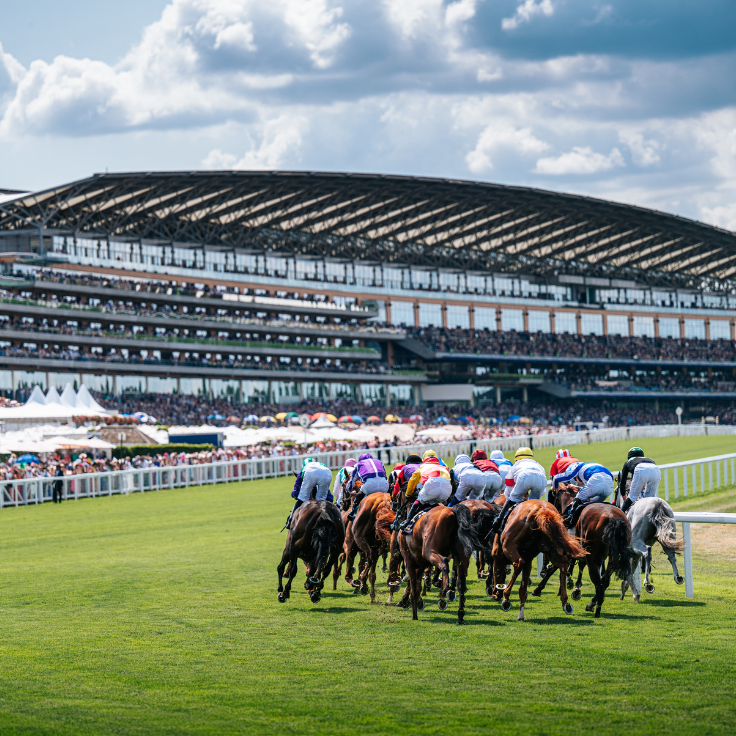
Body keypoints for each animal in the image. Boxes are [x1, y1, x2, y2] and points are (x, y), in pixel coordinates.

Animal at [536, 486, 640, 620]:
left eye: (551, 498)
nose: (558, 514)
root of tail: (614, 519)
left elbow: (554, 568)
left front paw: (539, 588)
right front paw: (573, 587)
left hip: (594, 558)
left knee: (599, 585)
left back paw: (596, 610)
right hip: (612, 558)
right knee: (604, 582)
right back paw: (592, 604)